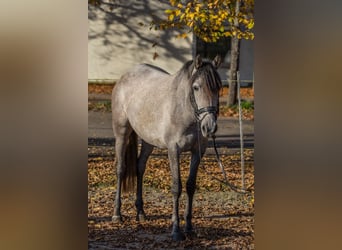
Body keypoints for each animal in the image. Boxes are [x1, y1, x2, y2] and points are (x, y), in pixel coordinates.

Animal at [110, 55, 222, 240]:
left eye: (219, 87)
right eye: (196, 87)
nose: (210, 127)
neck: (184, 109)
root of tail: (126, 75)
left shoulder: (197, 153)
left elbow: (190, 186)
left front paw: (189, 227)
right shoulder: (173, 150)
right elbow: (177, 187)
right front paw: (176, 229)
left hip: (148, 140)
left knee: (140, 167)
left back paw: (140, 212)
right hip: (121, 132)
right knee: (121, 169)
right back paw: (117, 214)